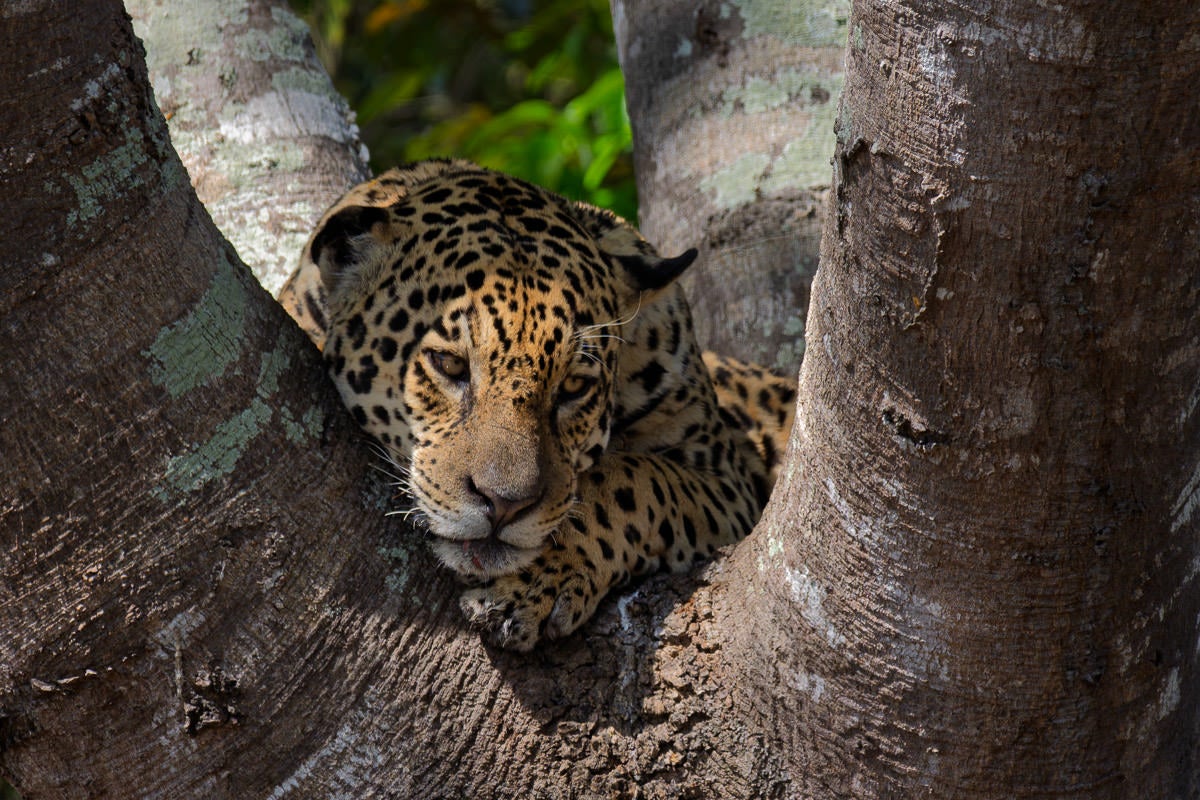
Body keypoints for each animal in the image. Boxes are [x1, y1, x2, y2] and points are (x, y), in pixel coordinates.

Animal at [279, 159, 796, 651]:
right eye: (449, 364)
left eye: (573, 387)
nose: (504, 506)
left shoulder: (728, 480)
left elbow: (632, 480)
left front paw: (532, 587)